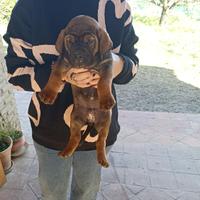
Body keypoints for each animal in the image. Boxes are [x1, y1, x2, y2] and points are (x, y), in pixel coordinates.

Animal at [38, 15, 115, 167]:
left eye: (89, 40)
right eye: (70, 41)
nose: (78, 55)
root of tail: (90, 120)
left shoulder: (107, 65)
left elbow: (104, 82)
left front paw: (106, 100)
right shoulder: (62, 62)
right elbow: (54, 77)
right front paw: (48, 94)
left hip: (105, 122)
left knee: (101, 140)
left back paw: (102, 158)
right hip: (74, 120)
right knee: (75, 137)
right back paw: (66, 151)